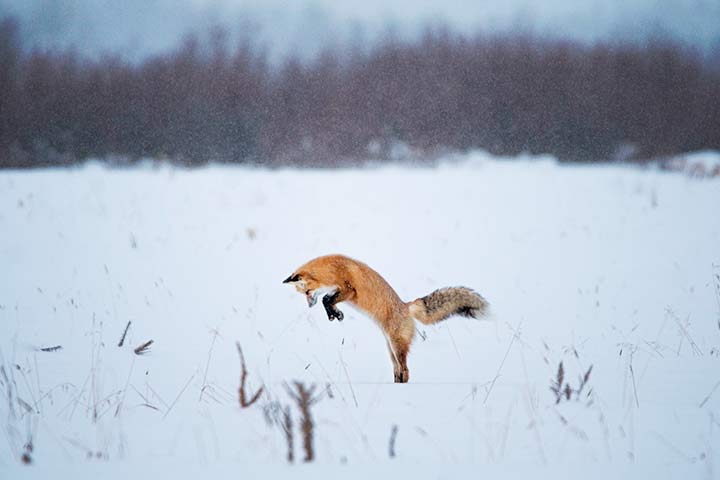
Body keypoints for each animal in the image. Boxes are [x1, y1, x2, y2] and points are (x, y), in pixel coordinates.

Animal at [283, 254, 488, 383]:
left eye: (307, 292)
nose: (309, 306)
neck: (332, 269)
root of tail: (406, 306)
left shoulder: (349, 289)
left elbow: (326, 299)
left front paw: (335, 313)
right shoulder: (338, 291)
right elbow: (328, 300)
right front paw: (335, 314)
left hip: (397, 347)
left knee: (405, 370)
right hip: (391, 351)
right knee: (398, 370)